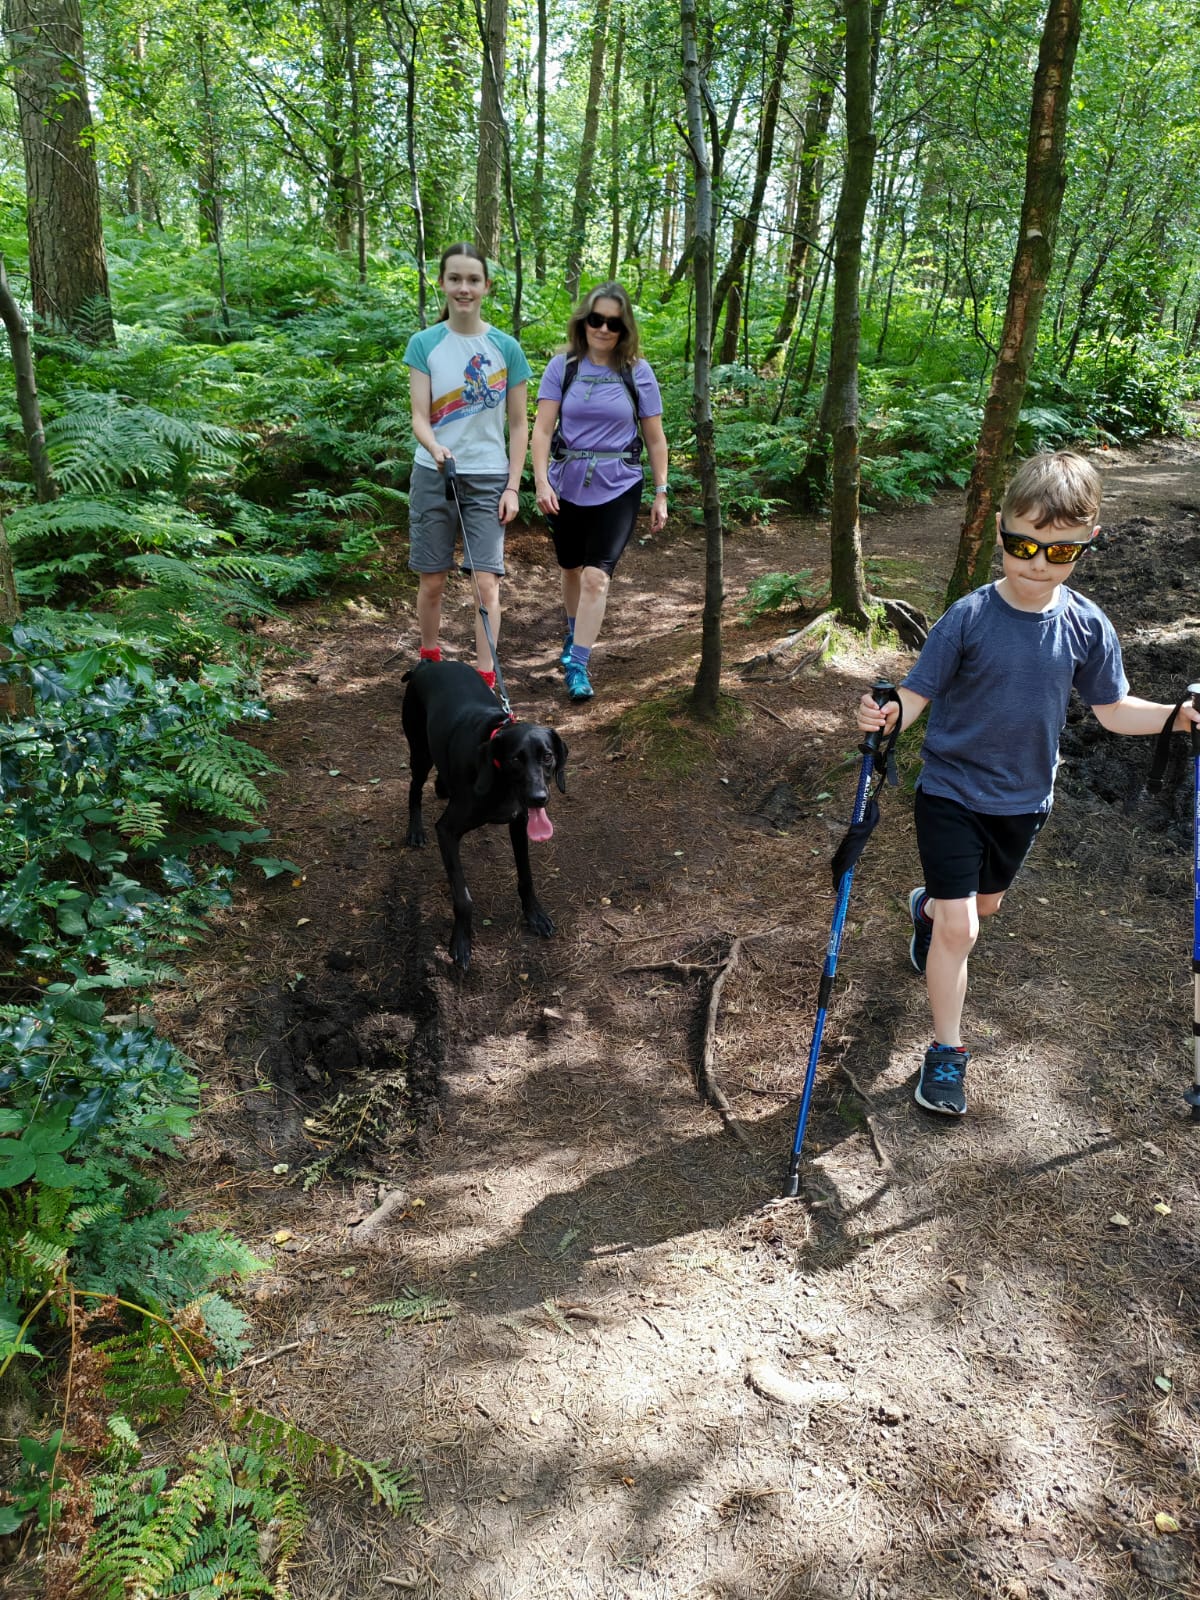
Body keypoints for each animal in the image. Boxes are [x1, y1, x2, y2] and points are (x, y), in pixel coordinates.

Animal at [402, 660, 568, 971]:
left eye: (548, 756)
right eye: (516, 759)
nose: (538, 798)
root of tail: (428, 664)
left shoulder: (520, 823)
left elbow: (526, 875)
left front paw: (535, 914)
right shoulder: (447, 831)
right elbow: (463, 898)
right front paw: (461, 943)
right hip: (419, 751)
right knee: (414, 789)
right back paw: (415, 830)